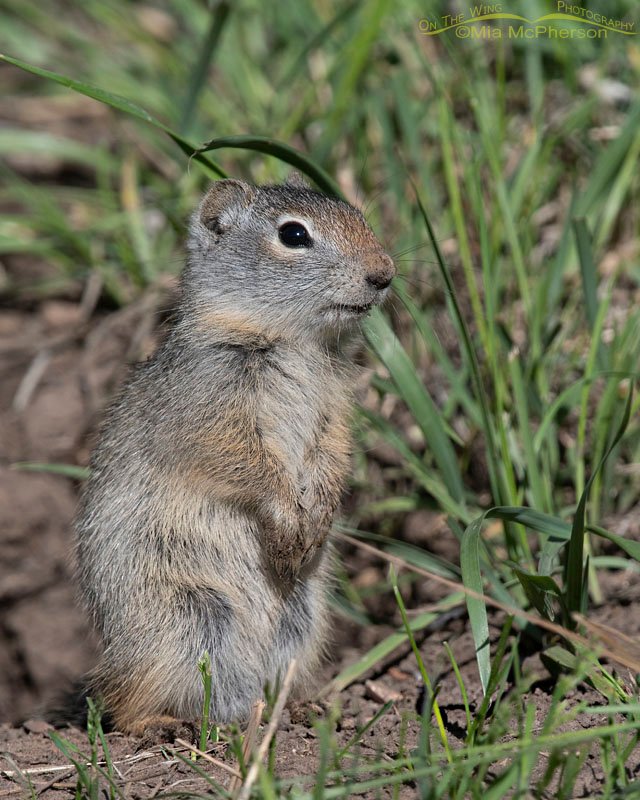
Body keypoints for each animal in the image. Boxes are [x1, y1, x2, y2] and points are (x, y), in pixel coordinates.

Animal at [74, 174, 395, 735]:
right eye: (293, 235)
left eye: (359, 216)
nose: (385, 273)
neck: (295, 341)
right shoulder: (214, 414)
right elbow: (250, 466)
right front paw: (287, 525)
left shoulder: (336, 410)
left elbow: (333, 453)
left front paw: (319, 516)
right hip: (183, 621)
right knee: (119, 701)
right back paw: (162, 723)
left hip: (299, 621)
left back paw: (292, 707)